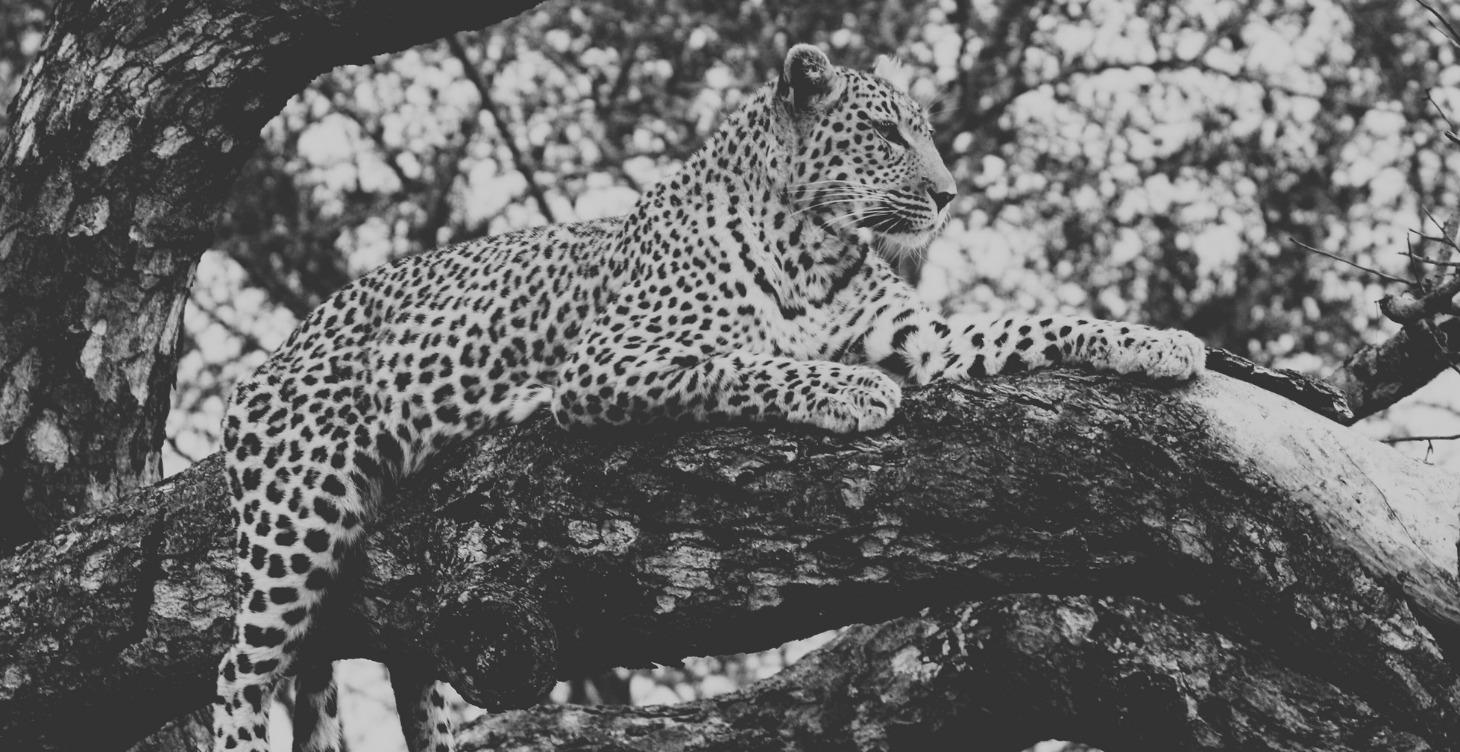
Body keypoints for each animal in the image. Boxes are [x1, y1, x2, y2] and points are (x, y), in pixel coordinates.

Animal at [211, 44, 1205, 752]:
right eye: (888, 136)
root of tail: (272, 355)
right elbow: (740, 361)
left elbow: (1033, 323)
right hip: (302, 510)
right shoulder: (610, 361)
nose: (949, 195)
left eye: (921, 135)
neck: (814, 243)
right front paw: (852, 388)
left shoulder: (924, 336)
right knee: (237, 670)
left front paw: (1154, 340)